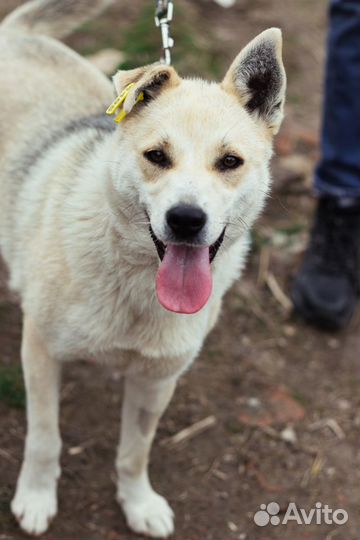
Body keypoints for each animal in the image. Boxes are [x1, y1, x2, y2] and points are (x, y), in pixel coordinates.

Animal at [0, 1, 286, 536]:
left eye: (229, 161)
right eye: (156, 156)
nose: (186, 219)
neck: (136, 284)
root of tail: (15, 35)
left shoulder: (158, 380)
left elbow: (135, 452)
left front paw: (138, 504)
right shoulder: (41, 352)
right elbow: (45, 438)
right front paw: (36, 497)